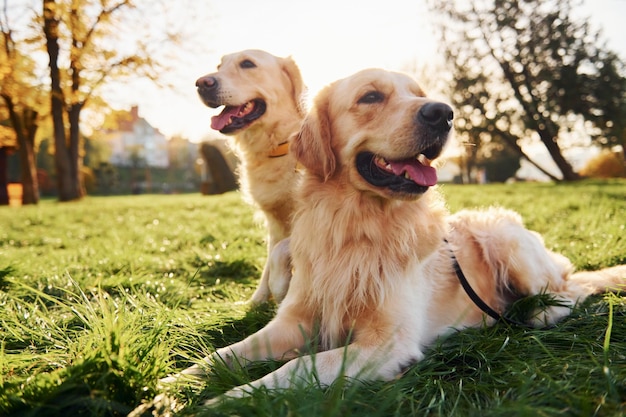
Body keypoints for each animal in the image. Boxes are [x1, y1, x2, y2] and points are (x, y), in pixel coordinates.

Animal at [194, 49, 304, 302]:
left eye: (247, 64)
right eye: (219, 66)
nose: (201, 83)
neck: (279, 146)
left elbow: (279, 252)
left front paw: (280, 288)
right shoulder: (275, 221)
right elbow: (271, 256)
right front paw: (257, 301)